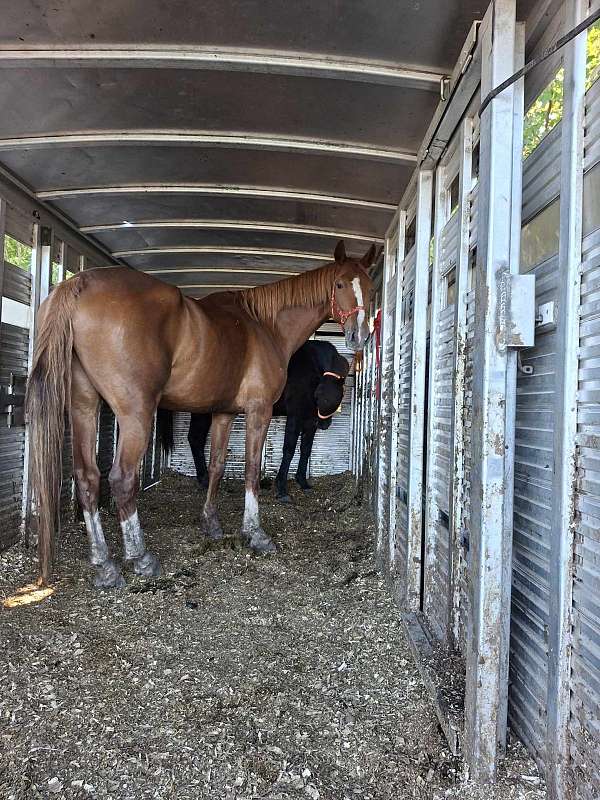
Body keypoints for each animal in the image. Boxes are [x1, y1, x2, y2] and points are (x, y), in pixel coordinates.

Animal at [159, 340, 350, 504]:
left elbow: (306, 450)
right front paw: (282, 489)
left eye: (339, 395)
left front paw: (303, 482)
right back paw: (205, 480)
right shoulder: (295, 416)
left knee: (195, 439)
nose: (324, 425)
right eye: (319, 395)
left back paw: (204, 479)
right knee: (196, 438)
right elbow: (289, 450)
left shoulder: (309, 420)